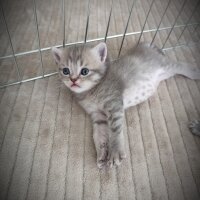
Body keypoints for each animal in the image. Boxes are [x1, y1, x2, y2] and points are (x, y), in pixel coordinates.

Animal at [52, 42, 200, 169]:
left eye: (84, 71)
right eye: (65, 71)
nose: (73, 80)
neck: (92, 91)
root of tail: (144, 46)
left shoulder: (114, 104)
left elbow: (115, 129)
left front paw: (115, 152)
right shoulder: (98, 115)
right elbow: (99, 135)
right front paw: (102, 153)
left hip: (166, 65)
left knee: (180, 65)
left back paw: (195, 72)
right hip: (165, 72)